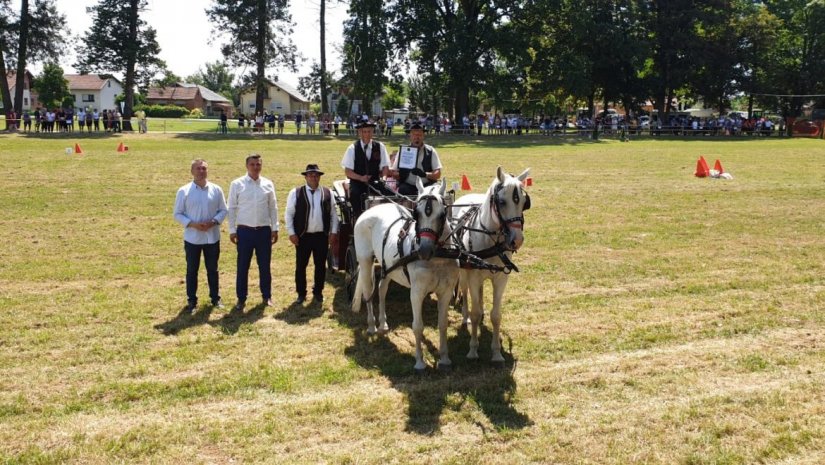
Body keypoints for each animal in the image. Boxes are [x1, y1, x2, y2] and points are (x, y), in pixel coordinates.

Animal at [352, 178, 460, 370]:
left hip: (388, 266)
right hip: (365, 262)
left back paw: (383, 324)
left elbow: (443, 324)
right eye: (416, 213)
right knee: (368, 292)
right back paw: (372, 326)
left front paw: (444, 359)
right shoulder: (416, 293)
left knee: (382, 290)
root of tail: (369, 211)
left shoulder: (446, 292)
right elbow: (417, 326)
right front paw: (419, 362)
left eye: (442, 214)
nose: (424, 250)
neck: (437, 258)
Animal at [454, 165, 532, 364]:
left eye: (523, 202)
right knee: (465, 292)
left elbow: (496, 316)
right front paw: (473, 350)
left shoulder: (501, 279)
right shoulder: (473, 277)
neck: (490, 242)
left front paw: (496, 353)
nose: (517, 240)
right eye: (502, 202)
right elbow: (474, 313)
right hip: (464, 272)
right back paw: (465, 317)